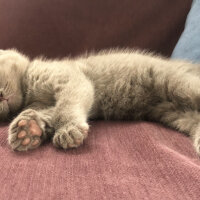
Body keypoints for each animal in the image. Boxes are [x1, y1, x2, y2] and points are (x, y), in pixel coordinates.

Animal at [0, 48, 200, 155]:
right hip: (176, 112)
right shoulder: (44, 105)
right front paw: (27, 129)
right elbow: (49, 113)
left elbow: (64, 107)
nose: (1, 96)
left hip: (178, 84)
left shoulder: (71, 79)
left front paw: (68, 129)